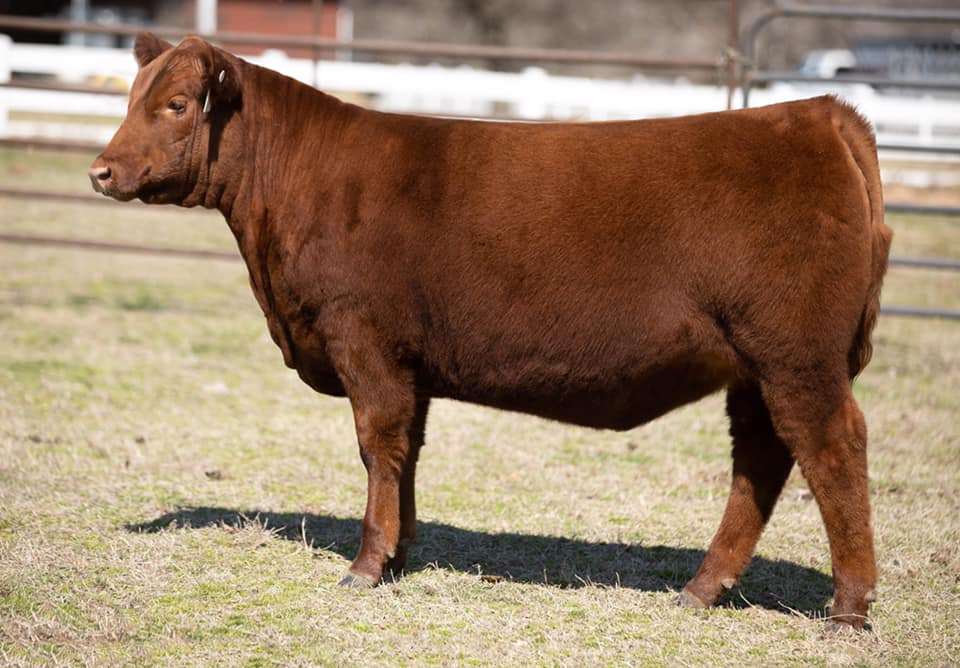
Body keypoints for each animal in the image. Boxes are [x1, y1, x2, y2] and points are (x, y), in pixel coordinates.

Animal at [90, 33, 892, 630]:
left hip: (797, 357)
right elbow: (406, 451)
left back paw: (848, 609)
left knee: (833, 451)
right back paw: (701, 589)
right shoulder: (410, 360)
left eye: (177, 103)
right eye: (131, 97)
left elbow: (376, 445)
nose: (101, 170)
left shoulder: (364, 339)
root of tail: (820, 115)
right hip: (754, 369)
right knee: (762, 460)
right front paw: (401, 555)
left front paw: (365, 566)